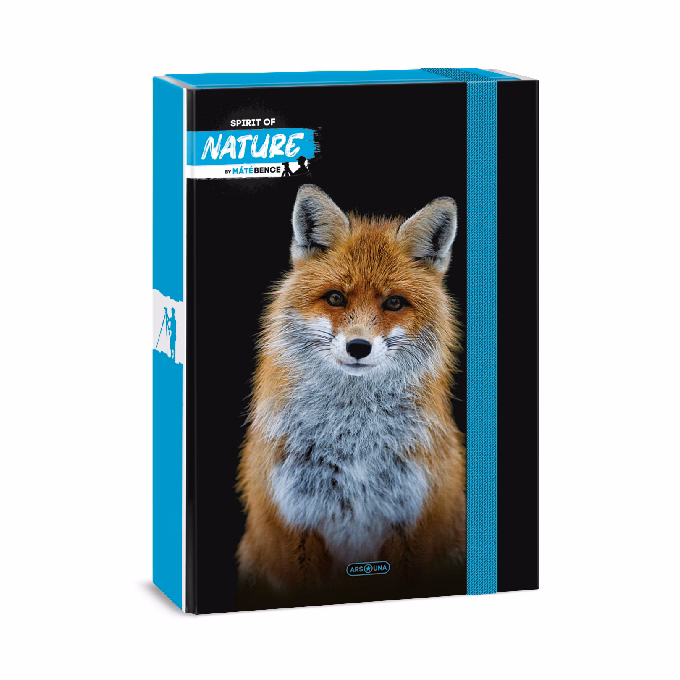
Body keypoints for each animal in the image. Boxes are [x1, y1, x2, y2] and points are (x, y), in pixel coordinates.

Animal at [237, 184, 465, 601]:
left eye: (394, 303)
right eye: (335, 298)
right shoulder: (292, 526)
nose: (358, 347)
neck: (352, 443)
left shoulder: (414, 523)